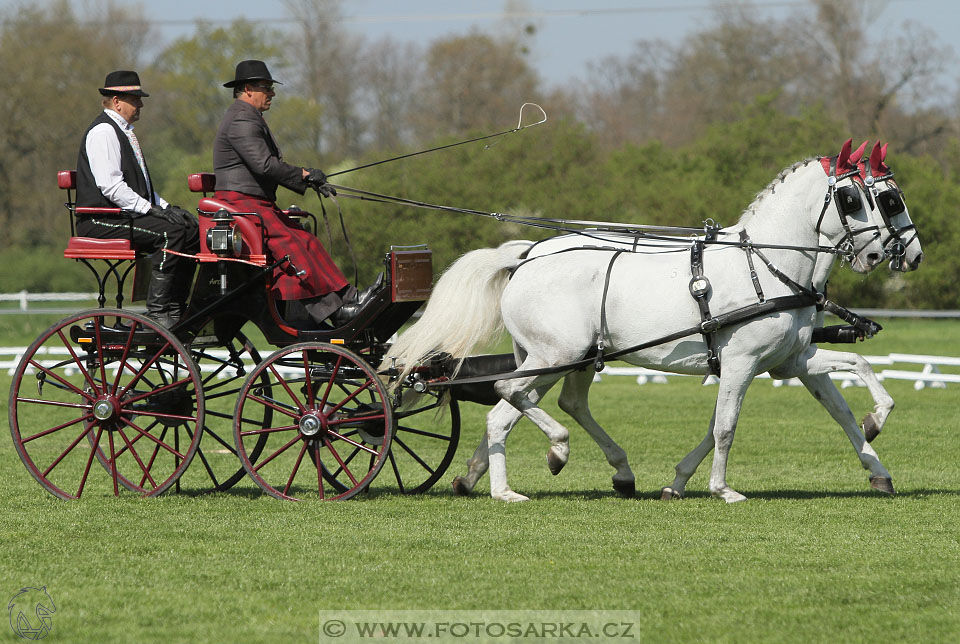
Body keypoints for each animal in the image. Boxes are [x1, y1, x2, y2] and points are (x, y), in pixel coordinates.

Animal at [382, 141, 900, 504]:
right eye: (855, 198)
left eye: (888, 199)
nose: (889, 253)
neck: (766, 264)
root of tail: (526, 256)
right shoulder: (741, 362)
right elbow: (725, 427)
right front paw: (721, 489)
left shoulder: (789, 360)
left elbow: (848, 389)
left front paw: (877, 439)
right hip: (556, 355)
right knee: (508, 398)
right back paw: (527, 473)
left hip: (562, 358)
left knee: (531, 405)